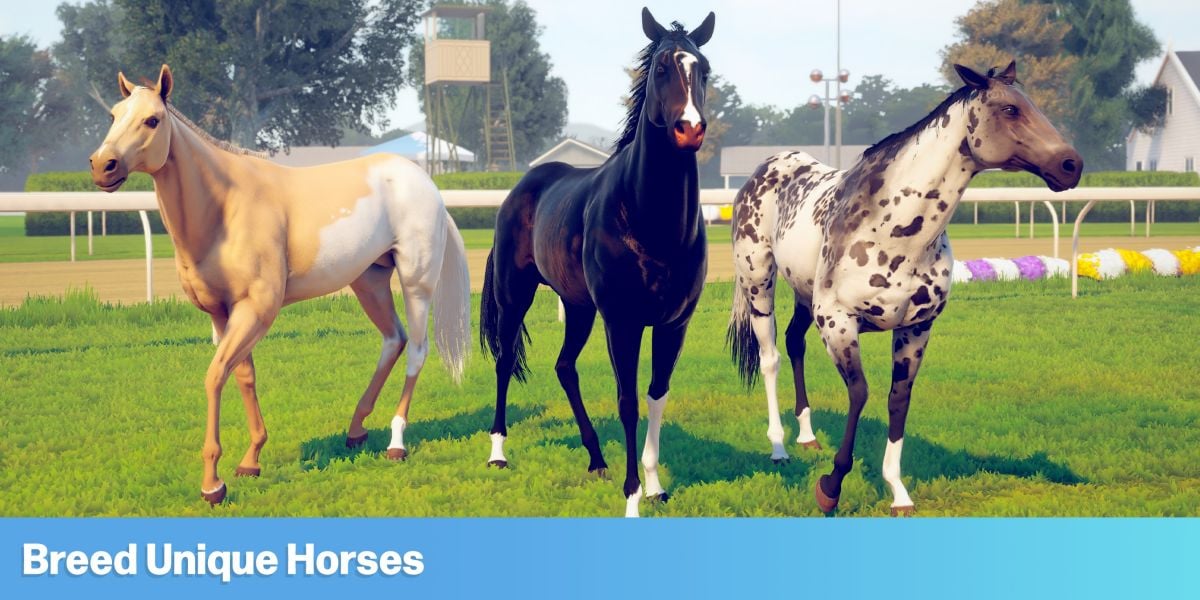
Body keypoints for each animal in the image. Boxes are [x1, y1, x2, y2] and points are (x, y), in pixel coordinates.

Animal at [88, 65, 471, 505]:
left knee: (418, 352)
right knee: (394, 339)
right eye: (114, 115)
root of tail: (429, 186)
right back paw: (356, 430)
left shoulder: (257, 309)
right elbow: (242, 375)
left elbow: (215, 375)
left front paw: (213, 484)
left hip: (416, 283)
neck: (225, 209)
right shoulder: (223, 314)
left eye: (152, 120)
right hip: (369, 282)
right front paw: (250, 460)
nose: (102, 166)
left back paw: (396, 443)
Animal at [479, 8, 715, 517]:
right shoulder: (621, 322)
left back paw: (595, 459)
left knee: (565, 367)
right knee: (505, 361)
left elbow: (656, 396)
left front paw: (655, 486)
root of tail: (522, 186)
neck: (647, 218)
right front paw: (632, 498)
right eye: (662, 66)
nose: (690, 129)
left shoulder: (673, 324)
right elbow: (627, 401)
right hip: (515, 295)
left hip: (579, 306)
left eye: (703, 69)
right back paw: (498, 453)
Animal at [727, 61, 1082, 515]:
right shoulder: (838, 322)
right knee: (770, 357)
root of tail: (767, 168)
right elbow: (859, 393)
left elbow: (898, 400)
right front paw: (831, 486)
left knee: (793, 343)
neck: (895, 230)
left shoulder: (916, 328)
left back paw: (806, 435)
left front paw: (897, 491)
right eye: (1009, 109)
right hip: (759, 284)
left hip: (804, 293)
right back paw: (779, 447)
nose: (1072, 164)